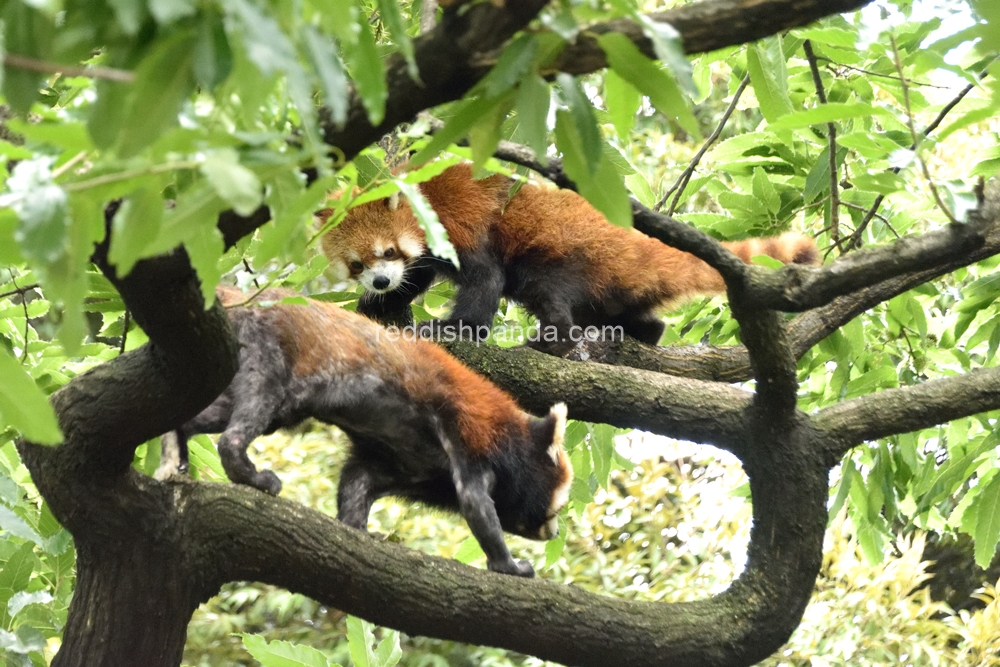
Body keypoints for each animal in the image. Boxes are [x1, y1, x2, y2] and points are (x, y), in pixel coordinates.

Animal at [160, 284, 576, 576]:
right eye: (555, 506)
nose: (555, 533)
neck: (509, 438)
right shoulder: (469, 435)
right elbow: (475, 502)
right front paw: (508, 564)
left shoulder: (407, 463)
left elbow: (357, 481)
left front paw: (357, 530)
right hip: (271, 348)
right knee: (250, 412)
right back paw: (250, 474)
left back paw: (178, 446)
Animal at [320, 162, 820, 354]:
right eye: (358, 265)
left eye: (387, 251)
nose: (379, 282)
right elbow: (419, 274)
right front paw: (381, 303)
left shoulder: (460, 225)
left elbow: (484, 281)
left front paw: (453, 329)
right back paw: (641, 332)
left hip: (563, 257)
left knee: (546, 295)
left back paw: (551, 339)